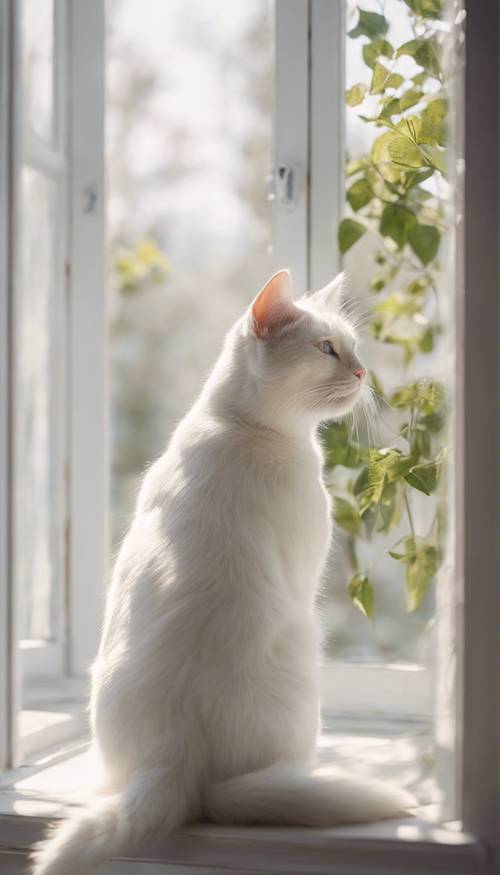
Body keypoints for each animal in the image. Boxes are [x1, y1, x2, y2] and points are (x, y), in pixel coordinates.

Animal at [32, 272, 414, 875]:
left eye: (352, 346)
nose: (361, 371)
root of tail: (177, 755)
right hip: (303, 645)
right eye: (328, 349)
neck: (239, 428)